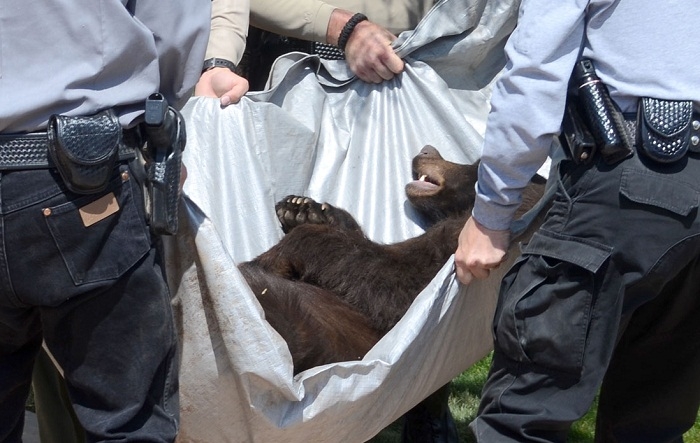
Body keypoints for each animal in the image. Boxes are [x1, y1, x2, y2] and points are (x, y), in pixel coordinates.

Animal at [235, 145, 548, 440]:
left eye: (478, 163)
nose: (427, 149)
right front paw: (303, 209)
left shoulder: (471, 248)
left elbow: (395, 284)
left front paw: (279, 248)